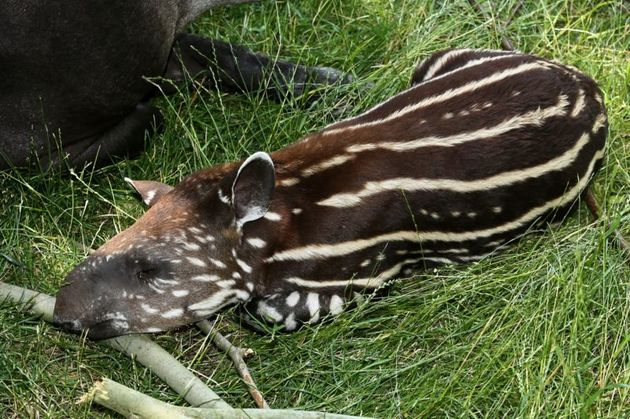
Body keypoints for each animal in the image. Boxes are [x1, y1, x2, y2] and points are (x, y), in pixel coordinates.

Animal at [54, 49, 608, 340]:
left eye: (153, 271)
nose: (60, 312)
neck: (290, 212)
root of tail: (591, 85)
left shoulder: (360, 274)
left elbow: (266, 312)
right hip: (446, 59)